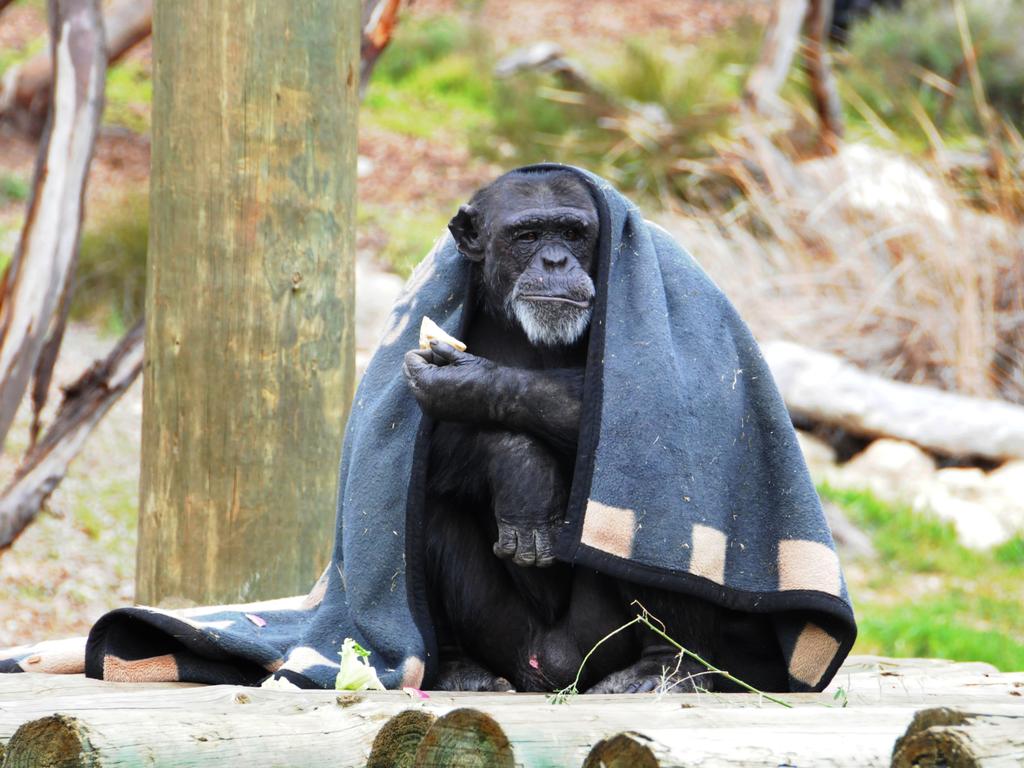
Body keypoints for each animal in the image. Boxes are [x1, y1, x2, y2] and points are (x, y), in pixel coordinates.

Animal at [399, 169, 720, 696]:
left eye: (572, 233)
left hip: (595, 642)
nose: (555, 260)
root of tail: (548, 671)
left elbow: (672, 397)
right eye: (528, 235)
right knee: (421, 498)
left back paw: (665, 668)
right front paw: (521, 468)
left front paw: (465, 383)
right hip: (505, 637)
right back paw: (457, 668)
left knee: (662, 496)